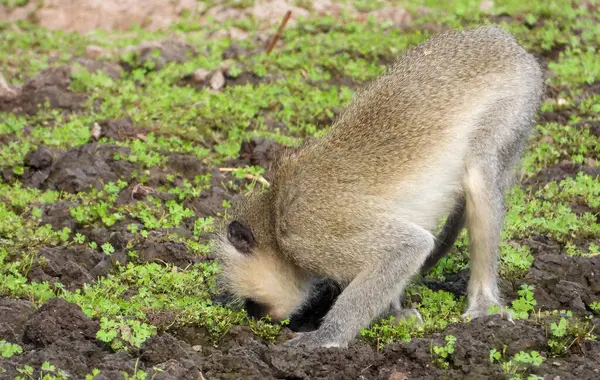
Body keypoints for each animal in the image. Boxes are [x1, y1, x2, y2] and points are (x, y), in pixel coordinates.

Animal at [213, 25, 548, 348]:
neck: (274, 215)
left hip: (513, 102)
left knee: (479, 174)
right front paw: (396, 313)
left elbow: (407, 247)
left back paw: (484, 303)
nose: (258, 317)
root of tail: (506, 42)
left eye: (252, 303)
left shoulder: (308, 236)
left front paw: (327, 337)